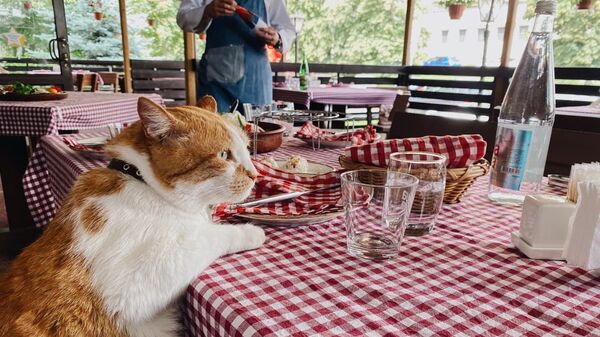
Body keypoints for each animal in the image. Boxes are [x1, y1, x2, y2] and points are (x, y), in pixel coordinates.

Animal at [0, 96, 268, 334]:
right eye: (224, 155)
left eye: (247, 148)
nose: (255, 174)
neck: (142, 182)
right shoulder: (131, 288)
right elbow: (210, 235)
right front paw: (250, 232)